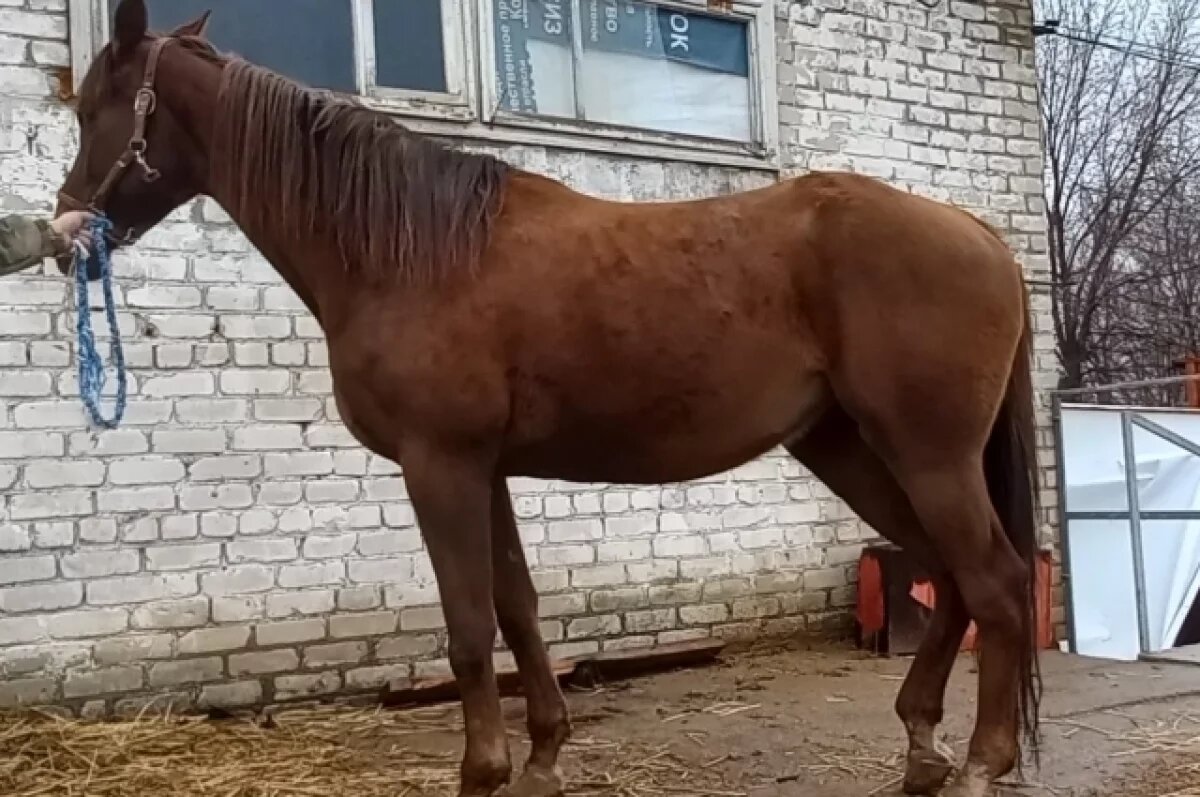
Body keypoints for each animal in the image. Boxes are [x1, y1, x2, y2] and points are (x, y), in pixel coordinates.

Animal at [56, 2, 1043, 795]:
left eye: (99, 105)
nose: (69, 225)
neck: (408, 251)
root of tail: (978, 232)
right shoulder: (484, 469)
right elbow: (519, 606)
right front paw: (540, 758)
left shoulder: (440, 464)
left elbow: (467, 625)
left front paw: (482, 771)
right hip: (847, 445)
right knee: (948, 573)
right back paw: (922, 747)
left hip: (926, 452)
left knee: (994, 580)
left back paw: (982, 762)